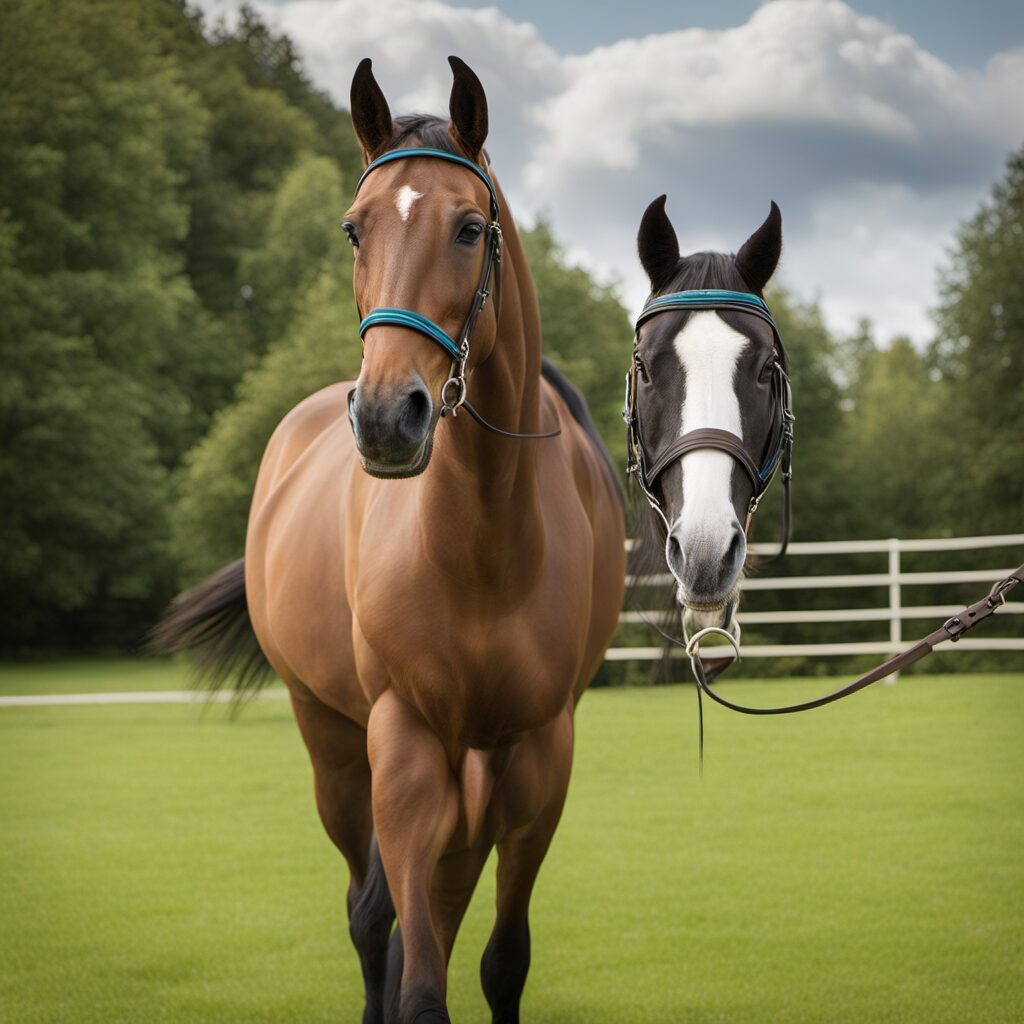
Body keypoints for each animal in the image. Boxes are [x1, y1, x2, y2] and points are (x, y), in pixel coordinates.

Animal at [156, 57, 625, 1024]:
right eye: (353, 228)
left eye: (471, 227)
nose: (383, 416)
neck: (487, 547)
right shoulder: (404, 750)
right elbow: (415, 978)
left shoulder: (536, 762)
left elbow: (499, 961)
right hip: (333, 744)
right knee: (369, 913)